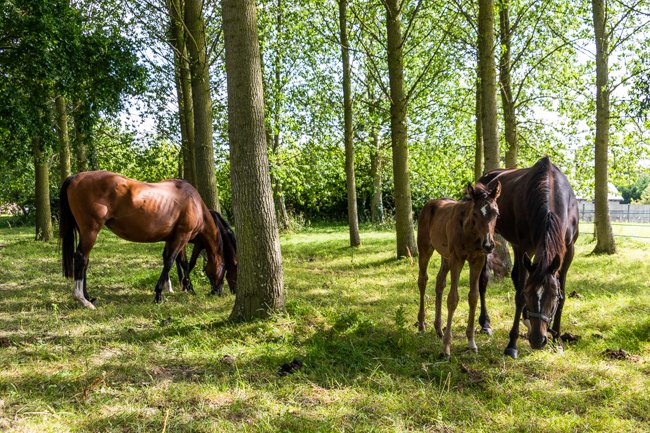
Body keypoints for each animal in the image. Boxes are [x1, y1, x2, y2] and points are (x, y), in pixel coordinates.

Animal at [59, 171, 234, 308]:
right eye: (226, 267)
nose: (219, 292)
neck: (194, 203)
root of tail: (75, 177)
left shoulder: (174, 238)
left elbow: (179, 262)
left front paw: (184, 288)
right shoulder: (182, 236)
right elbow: (171, 262)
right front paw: (160, 294)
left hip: (85, 231)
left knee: (85, 260)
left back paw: (89, 296)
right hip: (91, 231)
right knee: (81, 257)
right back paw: (82, 300)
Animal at [417, 181, 501, 359]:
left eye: (496, 213)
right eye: (475, 213)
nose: (488, 245)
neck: (470, 232)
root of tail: (430, 203)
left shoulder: (477, 260)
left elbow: (473, 297)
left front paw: (471, 343)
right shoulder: (457, 259)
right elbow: (453, 298)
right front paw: (446, 349)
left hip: (446, 256)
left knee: (439, 282)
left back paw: (438, 328)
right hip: (425, 248)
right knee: (423, 279)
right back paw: (421, 325)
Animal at [477, 156, 579, 358]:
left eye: (552, 295)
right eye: (529, 293)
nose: (538, 340)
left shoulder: (568, 251)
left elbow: (563, 295)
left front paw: (557, 340)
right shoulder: (524, 246)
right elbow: (519, 294)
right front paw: (512, 344)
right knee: (484, 280)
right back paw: (485, 323)